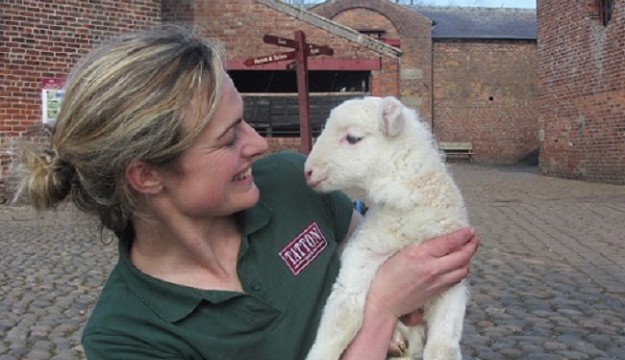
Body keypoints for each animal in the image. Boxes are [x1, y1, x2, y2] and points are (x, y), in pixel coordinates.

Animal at [302, 95, 468, 360]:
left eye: (352, 138)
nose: (308, 172)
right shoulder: (362, 253)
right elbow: (344, 316)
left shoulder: (453, 277)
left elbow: (443, 346)